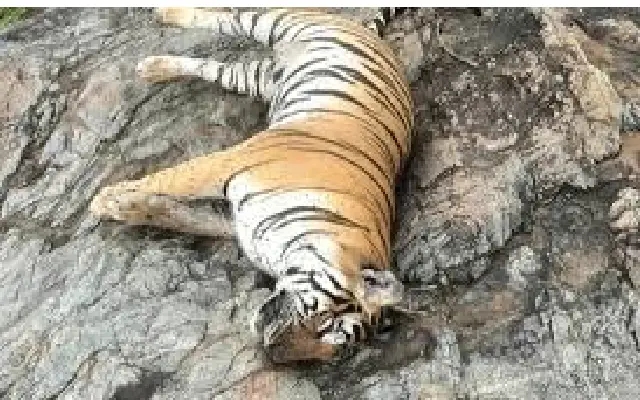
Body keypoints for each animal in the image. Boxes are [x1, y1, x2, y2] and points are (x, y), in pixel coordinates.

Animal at [90, 7, 414, 362]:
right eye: (325, 322)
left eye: (331, 351)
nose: (273, 352)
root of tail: (371, 35)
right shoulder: (227, 164)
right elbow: (170, 180)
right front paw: (103, 200)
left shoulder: (236, 222)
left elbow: (181, 215)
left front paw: (129, 207)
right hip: (279, 23)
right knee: (226, 17)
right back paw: (166, 15)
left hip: (254, 78)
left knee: (213, 68)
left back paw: (153, 68)